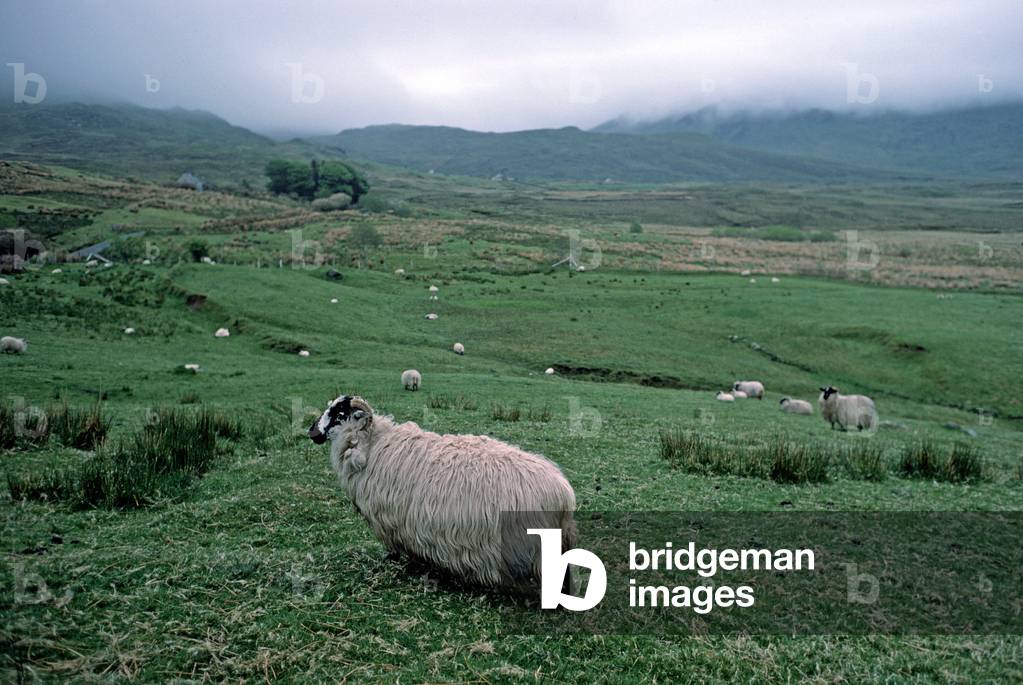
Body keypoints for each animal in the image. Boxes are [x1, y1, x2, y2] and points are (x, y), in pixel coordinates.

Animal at [307, 395, 577, 589]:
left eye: (340, 414)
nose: (311, 431)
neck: (373, 445)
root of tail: (564, 494)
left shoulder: (391, 521)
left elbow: (397, 550)